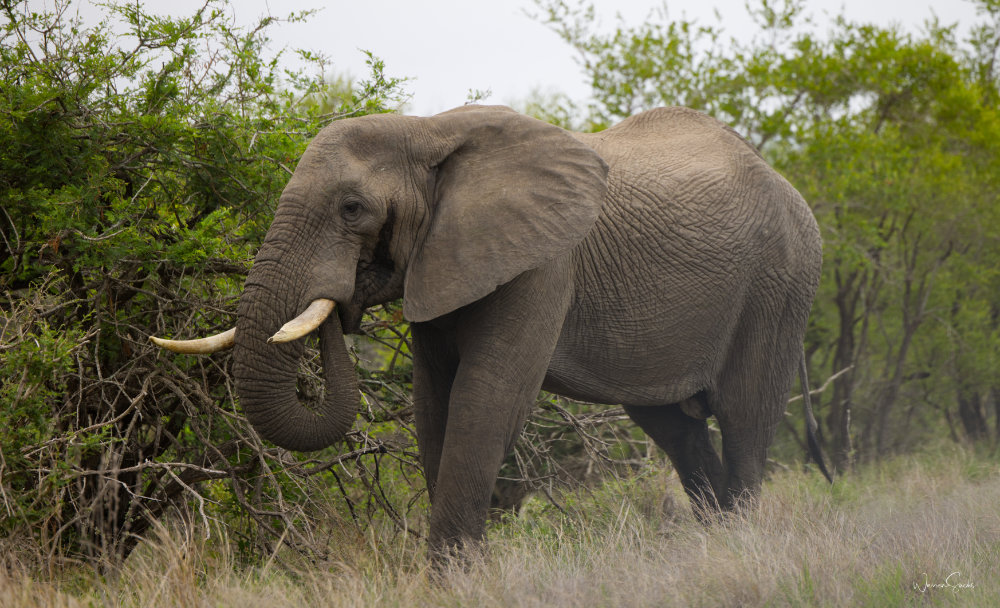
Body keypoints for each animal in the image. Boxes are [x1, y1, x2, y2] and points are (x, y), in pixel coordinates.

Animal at [152, 104, 828, 558]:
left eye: (352, 209)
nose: (342, 305)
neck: (428, 129)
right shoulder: (442, 261)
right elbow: (435, 406)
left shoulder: (546, 262)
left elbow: (486, 400)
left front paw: (450, 582)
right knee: (674, 429)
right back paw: (717, 547)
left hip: (781, 284)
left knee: (744, 419)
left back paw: (741, 549)